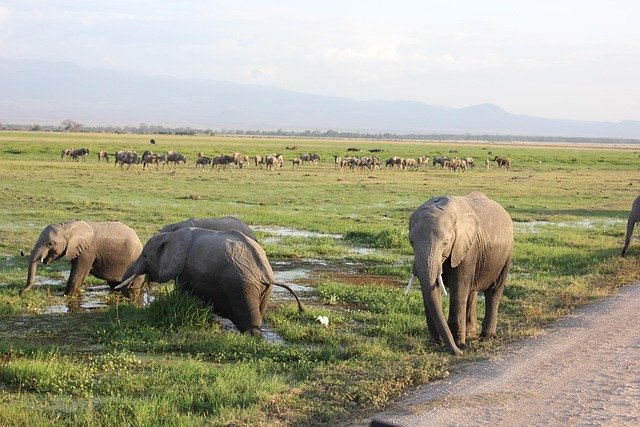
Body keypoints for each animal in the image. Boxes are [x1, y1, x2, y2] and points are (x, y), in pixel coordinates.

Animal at [116, 228, 303, 335]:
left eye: (145, 256)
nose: (130, 294)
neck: (171, 236)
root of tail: (265, 272)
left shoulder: (185, 270)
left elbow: (182, 293)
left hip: (241, 285)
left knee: (249, 320)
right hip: (263, 288)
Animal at [408, 191, 514, 355]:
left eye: (445, 243)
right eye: (411, 242)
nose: (459, 352)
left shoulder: (466, 248)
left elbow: (458, 290)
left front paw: (459, 344)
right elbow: (434, 289)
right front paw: (436, 343)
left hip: (506, 255)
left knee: (494, 291)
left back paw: (486, 337)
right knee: (472, 291)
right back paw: (470, 333)